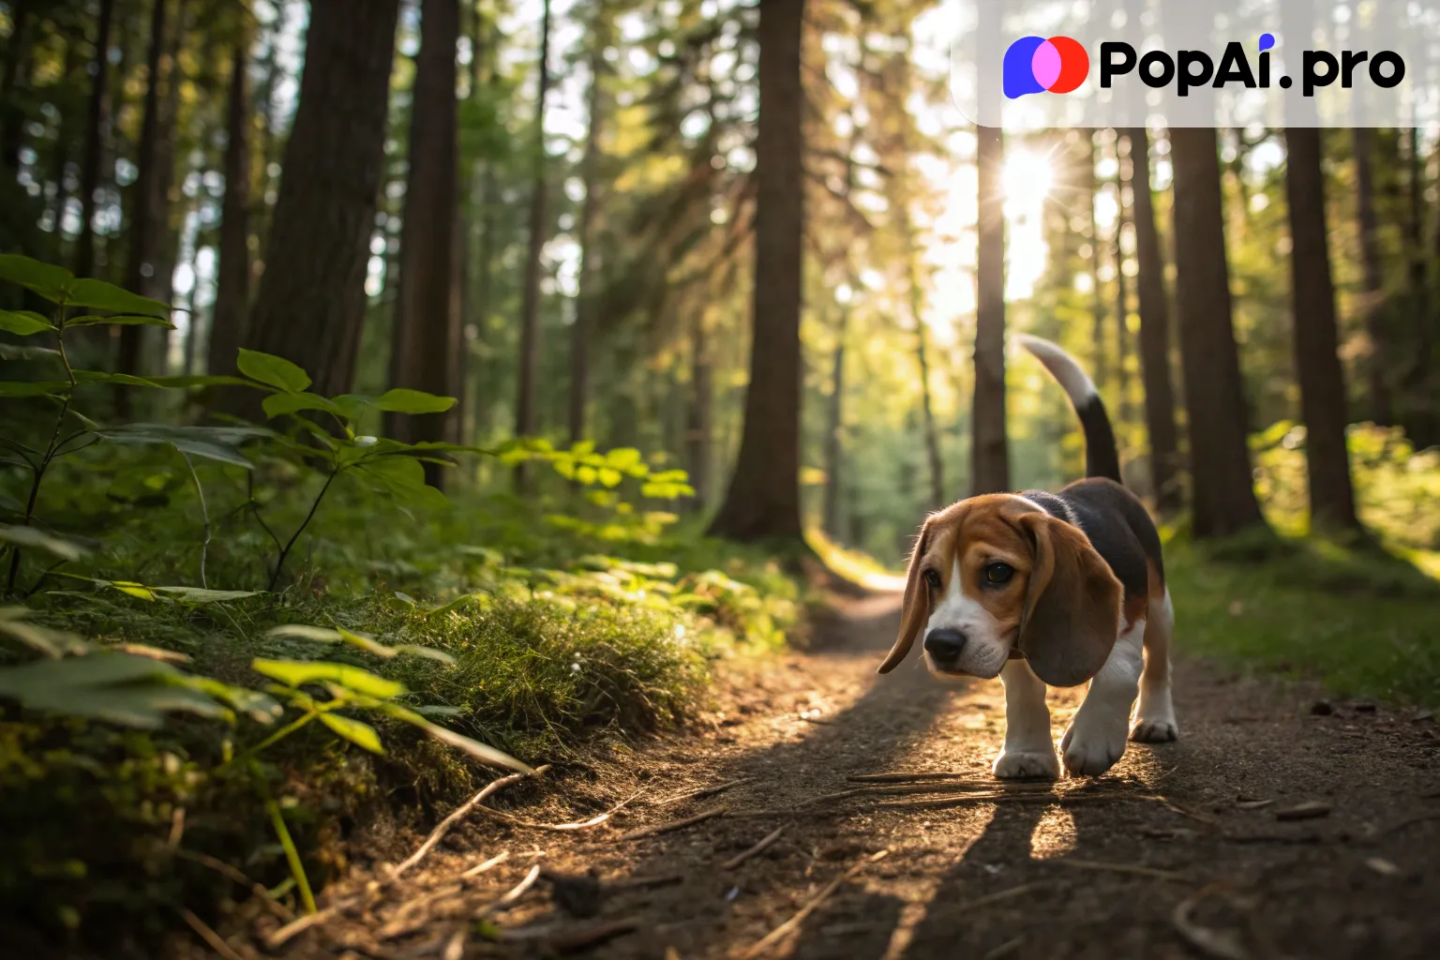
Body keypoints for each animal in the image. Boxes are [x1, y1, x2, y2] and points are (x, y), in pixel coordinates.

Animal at [881, 332, 1175, 782]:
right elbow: (1022, 692)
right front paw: (1028, 754)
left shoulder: (1129, 611)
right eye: (931, 577)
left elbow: (1120, 672)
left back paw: (1157, 720)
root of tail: (1103, 479)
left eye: (998, 572)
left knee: (1158, 661)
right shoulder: (1010, 640)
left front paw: (1092, 741)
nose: (940, 645)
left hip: (1159, 603)